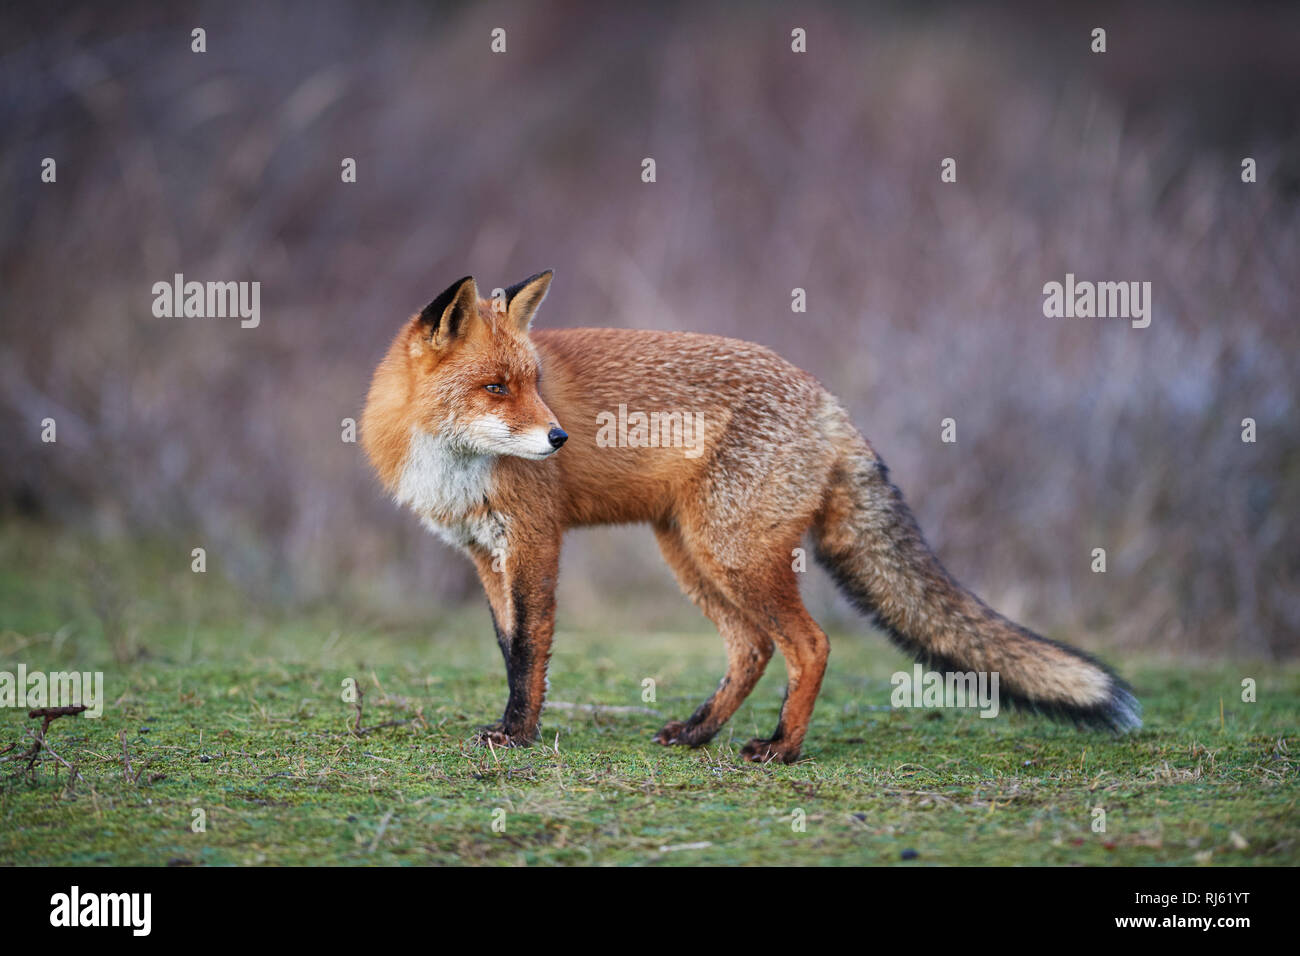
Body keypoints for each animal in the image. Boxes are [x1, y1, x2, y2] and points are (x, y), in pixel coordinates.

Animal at [360, 271, 1140, 764]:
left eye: (535, 383)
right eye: (496, 387)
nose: (558, 439)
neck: (450, 461)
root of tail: (828, 400)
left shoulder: (535, 542)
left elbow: (529, 651)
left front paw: (517, 735)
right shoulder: (483, 552)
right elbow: (507, 645)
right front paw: (512, 725)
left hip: (731, 553)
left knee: (809, 645)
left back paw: (782, 749)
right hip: (691, 552)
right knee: (753, 648)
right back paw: (698, 733)